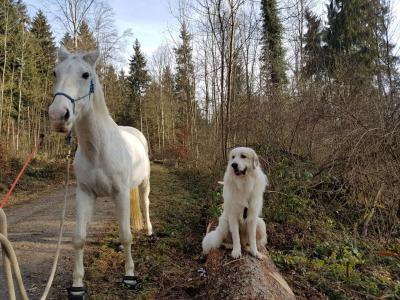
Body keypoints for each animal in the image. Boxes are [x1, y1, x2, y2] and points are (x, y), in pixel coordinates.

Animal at [48, 46, 152, 298]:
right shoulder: (85, 193)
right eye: (55, 73)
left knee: (144, 204)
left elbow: (126, 235)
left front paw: (130, 277)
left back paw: (149, 232)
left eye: (86, 75)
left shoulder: (121, 192)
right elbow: (79, 238)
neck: (98, 149)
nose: (57, 116)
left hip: (143, 183)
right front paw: (77, 286)